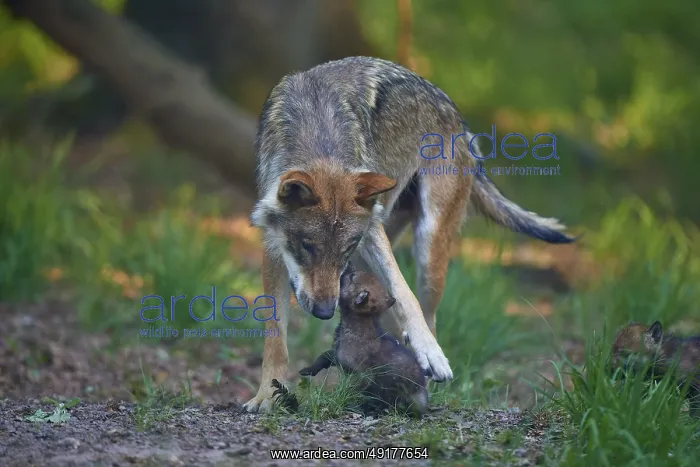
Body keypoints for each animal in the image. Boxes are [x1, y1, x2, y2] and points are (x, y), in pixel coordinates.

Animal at [299, 267, 429, 417]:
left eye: (352, 276)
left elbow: (356, 390)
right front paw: (308, 370)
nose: (346, 268)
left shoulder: (361, 374)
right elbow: (323, 356)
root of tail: (421, 392)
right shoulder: (338, 355)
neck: (361, 320)